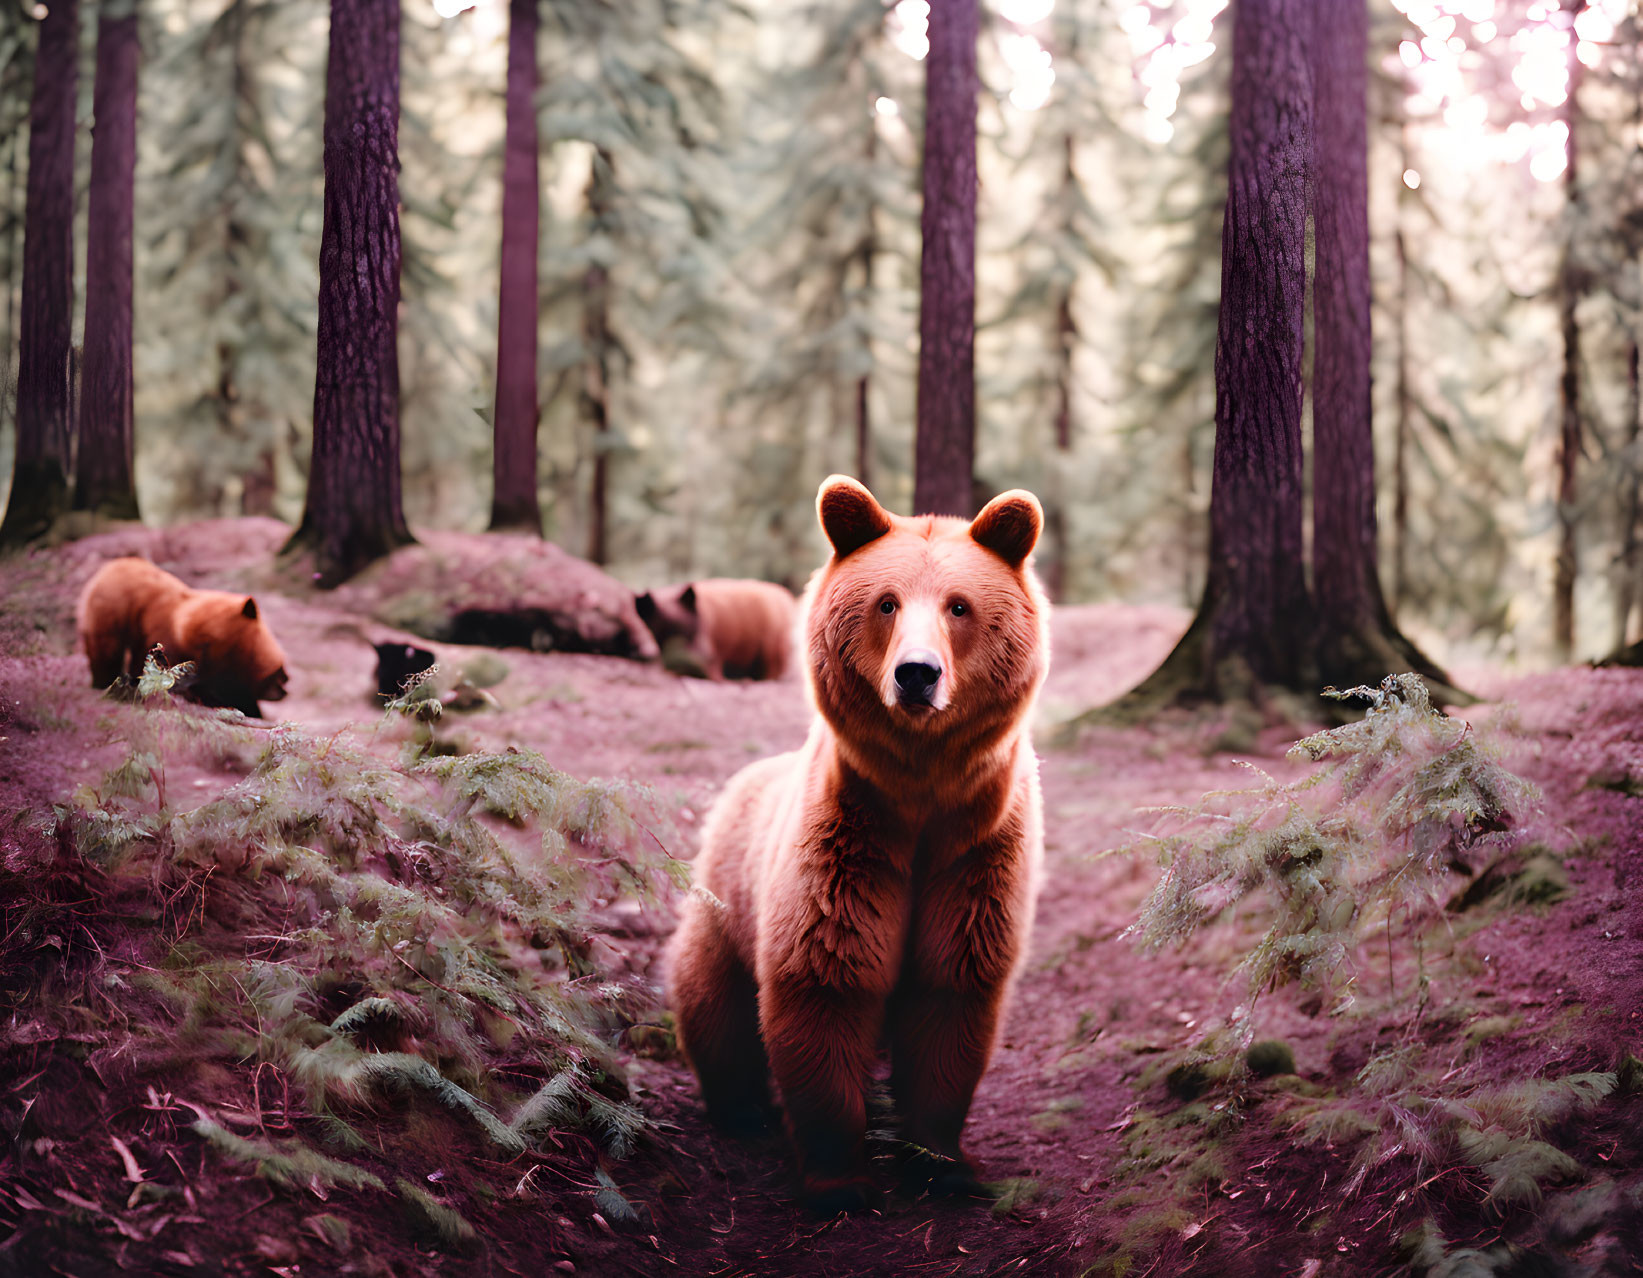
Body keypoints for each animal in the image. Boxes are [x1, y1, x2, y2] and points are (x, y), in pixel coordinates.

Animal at [660, 473, 1044, 1209]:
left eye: (959, 605)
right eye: (886, 602)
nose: (917, 673)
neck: (920, 799)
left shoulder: (973, 855)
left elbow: (951, 993)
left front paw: (944, 1163)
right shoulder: (847, 847)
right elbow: (825, 980)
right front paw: (840, 1179)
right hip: (724, 905)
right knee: (712, 1003)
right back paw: (740, 1106)